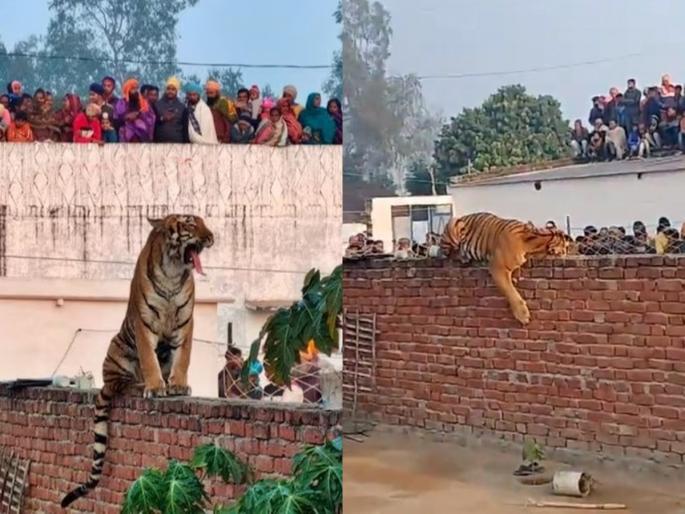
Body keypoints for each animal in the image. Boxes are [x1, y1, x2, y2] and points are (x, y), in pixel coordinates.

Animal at [61, 214, 214, 509]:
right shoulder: (143, 322)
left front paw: (177, 385)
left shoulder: (185, 321)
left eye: (204, 222)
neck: (173, 273)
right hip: (117, 350)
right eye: (190, 224)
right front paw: (155, 387)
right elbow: (149, 359)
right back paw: (140, 385)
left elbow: (182, 358)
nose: (211, 237)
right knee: (121, 384)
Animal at [439, 212, 571, 325]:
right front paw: (523, 315)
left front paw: (515, 278)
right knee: (447, 253)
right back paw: (462, 256)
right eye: (565, 247)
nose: (566, 252)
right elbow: (510, 291)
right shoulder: (498, 267)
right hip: (454, 225)